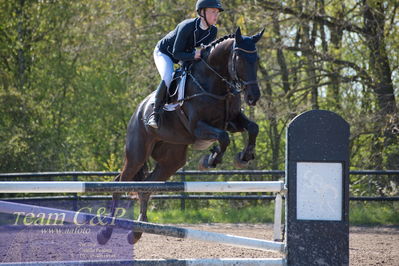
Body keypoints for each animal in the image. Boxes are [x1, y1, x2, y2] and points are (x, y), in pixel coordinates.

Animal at [97, 27, 266, 245]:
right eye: (239, 58)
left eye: (257, 59)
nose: (254, 97)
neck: (215, 83)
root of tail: (138, 111)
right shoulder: (198, 127)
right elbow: (223, 138)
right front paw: (210, 160)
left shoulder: (233, 121)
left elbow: (253, 128)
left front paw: (243, 157)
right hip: (137, 155)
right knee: (119, 183)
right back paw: (105, 232)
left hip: (172, 159)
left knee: (146, 186)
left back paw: (136, 231)